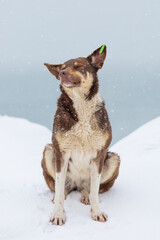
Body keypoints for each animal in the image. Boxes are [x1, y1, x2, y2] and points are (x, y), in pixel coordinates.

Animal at [41, 45, 120, 225]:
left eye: (78, 66)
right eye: (62, 68)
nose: (62, 74)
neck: (80, 104)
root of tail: (77, 185)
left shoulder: (99, 154)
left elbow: (95, 190)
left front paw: (96, 212)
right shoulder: (61, 152)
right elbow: (59, 190)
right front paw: (58, 214)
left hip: (113, 159)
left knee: (89, 188)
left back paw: (85, 196)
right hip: (48, 151)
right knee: (63, 188)